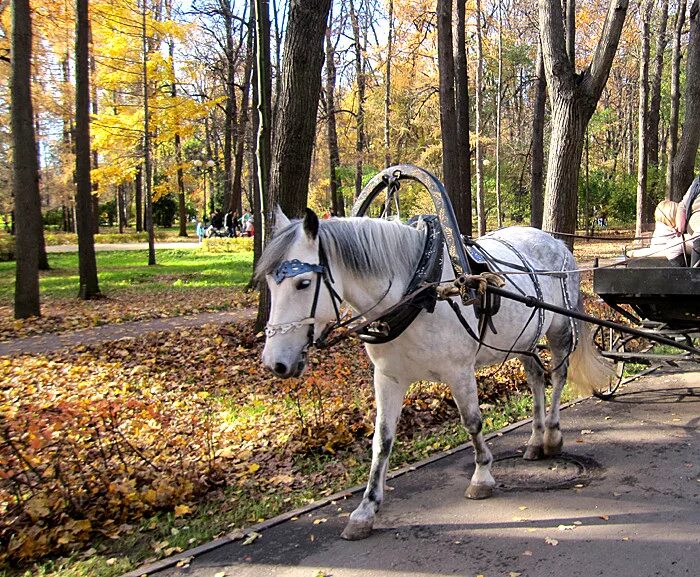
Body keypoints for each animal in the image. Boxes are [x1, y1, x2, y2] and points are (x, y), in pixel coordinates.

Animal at [256, 208, 608, 540]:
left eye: (303, 283)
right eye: (270, 282)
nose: (275, 363)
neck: (421, 293)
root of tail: (556, 242)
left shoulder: (459, 371)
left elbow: (472, 423)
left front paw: (482, 476)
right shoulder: (388, 378)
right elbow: (382, 440)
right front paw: (366, 509)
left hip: (559, 328)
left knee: (558, 377)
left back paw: (551, 435)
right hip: (523, 339)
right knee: (536, 377)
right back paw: (534, 440)